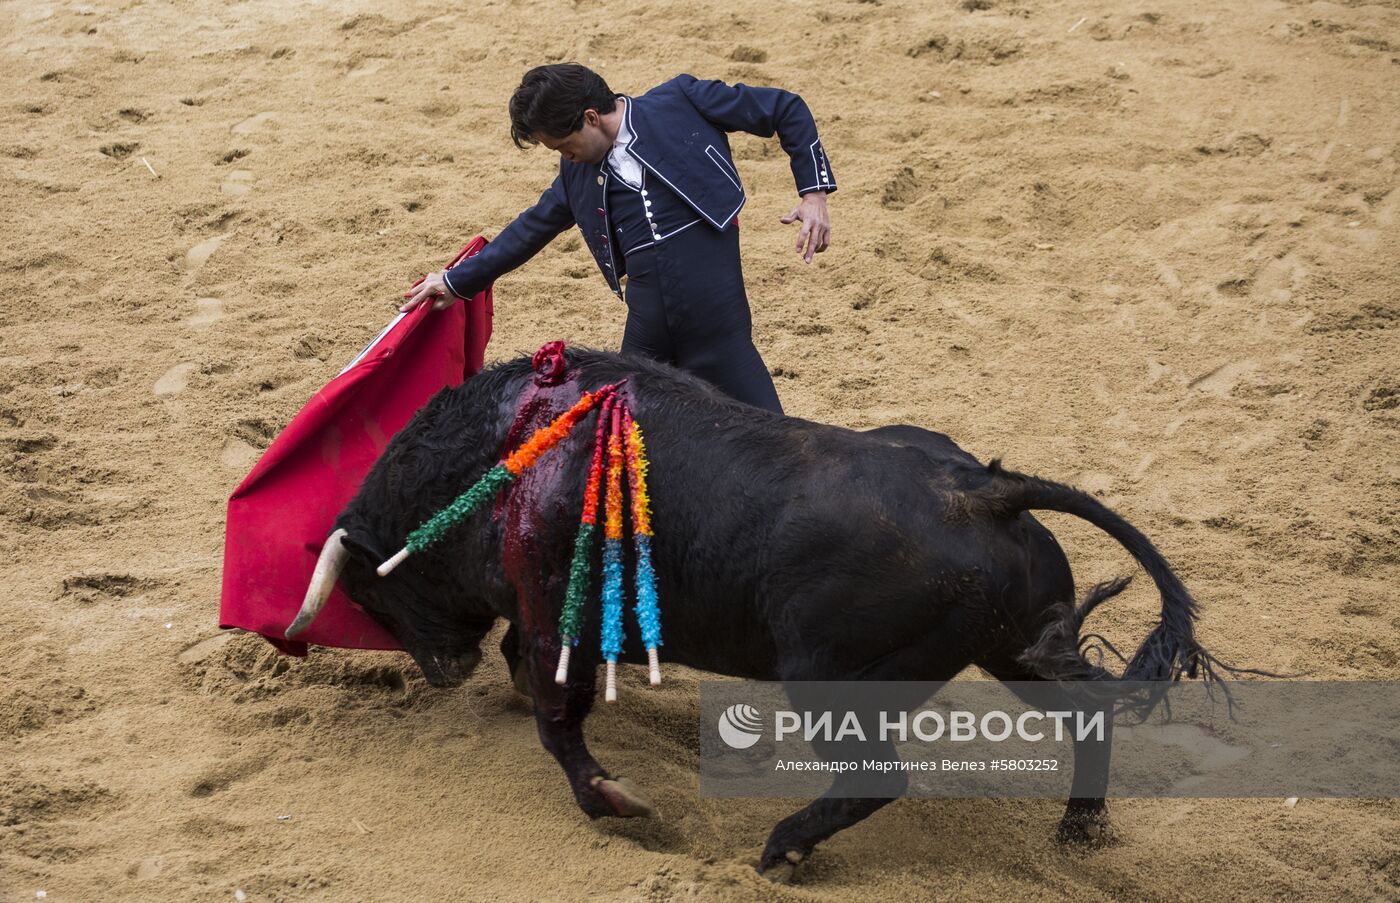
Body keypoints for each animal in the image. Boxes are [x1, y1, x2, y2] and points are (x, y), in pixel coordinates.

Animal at [281, 345, 1237, 873]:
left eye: (374, 591)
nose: (442, 669)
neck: (505, 453)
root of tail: (981, 490)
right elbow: (534, 677)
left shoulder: (559, 615)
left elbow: (558, 718)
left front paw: (615, 803)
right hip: (1016, 645)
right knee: (1085, 716)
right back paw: (1080, 829)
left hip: (827, 675)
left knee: (875, 777)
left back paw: (784, 846)